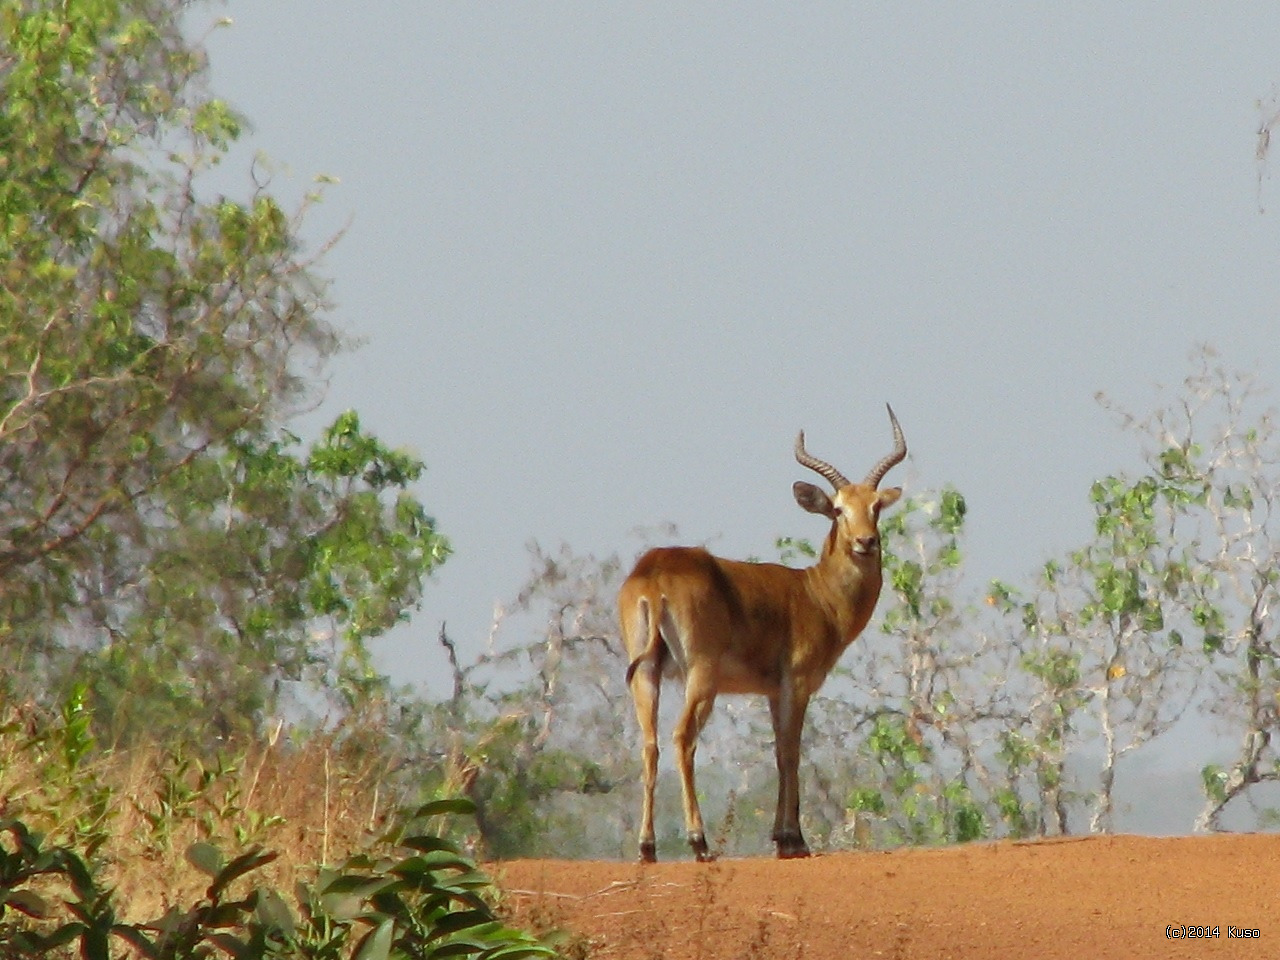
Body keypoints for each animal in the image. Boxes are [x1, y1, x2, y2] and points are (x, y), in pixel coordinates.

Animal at [616, 407, 901, 865]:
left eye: (875, 506)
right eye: (838, 509)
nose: (865, 541)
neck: (815, 593)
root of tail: (655, 570)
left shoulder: (771, 690)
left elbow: (778, 750)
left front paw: (783, 837)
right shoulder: (797, 682)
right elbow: (790, 752)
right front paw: (793, 840)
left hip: (646, 674)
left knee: (650, 743)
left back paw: (647, 848)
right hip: (701, 675)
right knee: (682, 738)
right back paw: (699, 843)